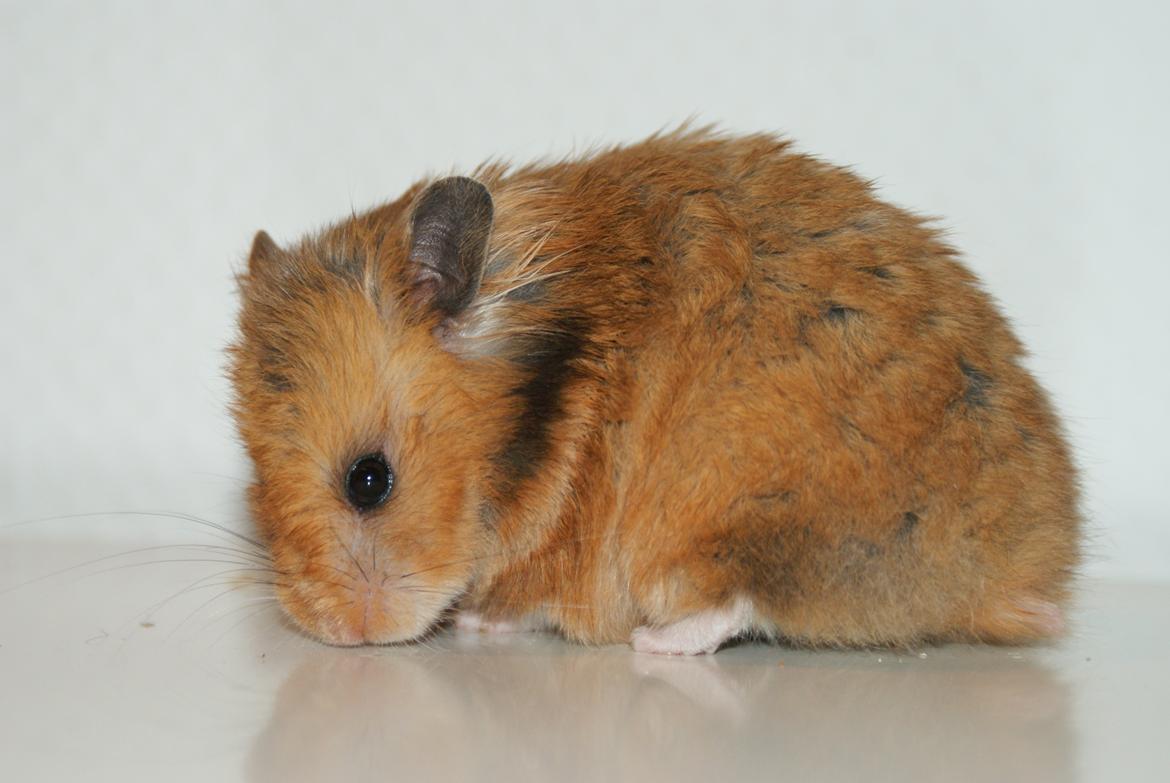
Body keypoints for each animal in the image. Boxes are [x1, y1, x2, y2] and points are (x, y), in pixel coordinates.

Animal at [229, 129, 1080, 654]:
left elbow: (525, 600)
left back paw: (653, 641)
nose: (335, 633)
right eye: (257, 489)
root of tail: (1015, 572)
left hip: (735, 515)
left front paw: (474, 621)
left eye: (369, 480)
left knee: (736, 602)